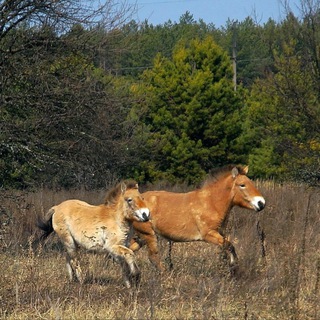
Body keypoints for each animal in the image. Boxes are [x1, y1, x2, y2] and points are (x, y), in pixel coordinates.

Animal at [130, 166, 264, 272]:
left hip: (141, 237)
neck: (211, 203)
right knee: (153, 257)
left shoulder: (221, 233)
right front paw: (234, 266)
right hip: (148, 235)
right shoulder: (208, 234)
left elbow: (227, 247)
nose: (261, 203)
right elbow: (229, 246)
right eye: (242, 185)